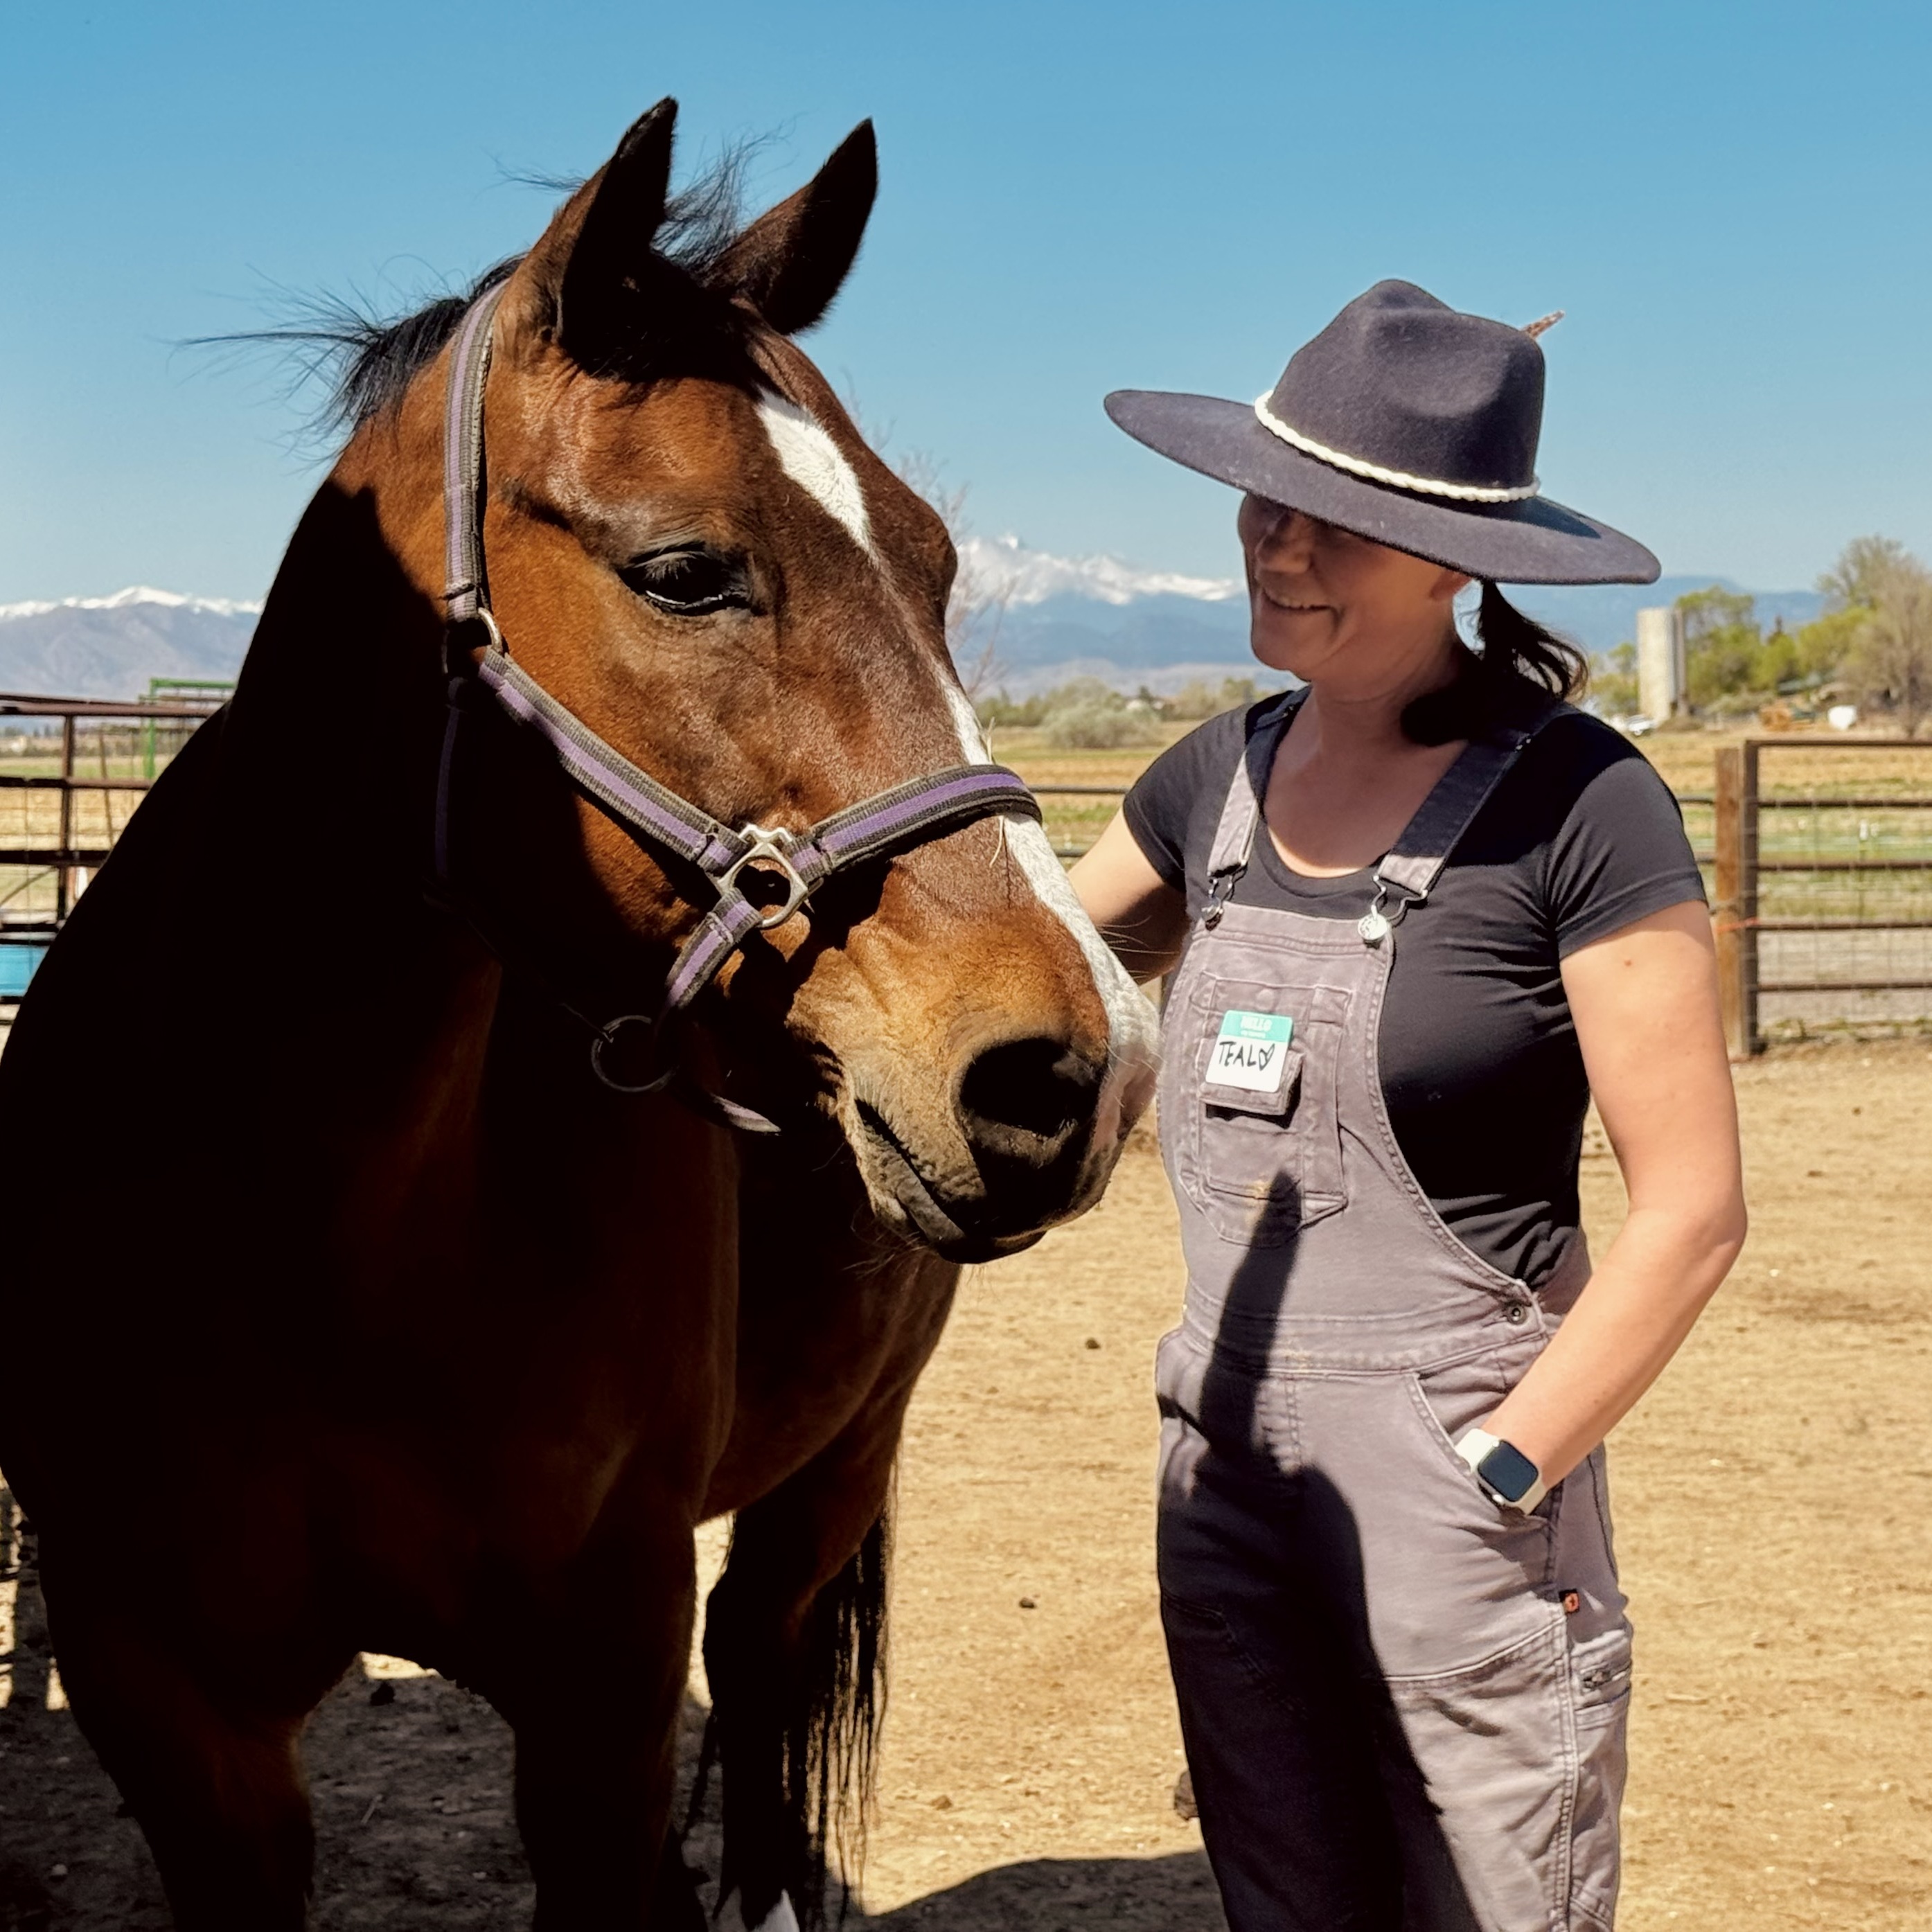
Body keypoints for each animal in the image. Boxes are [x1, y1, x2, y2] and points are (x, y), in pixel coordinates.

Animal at [0, 99, 1158, 1930]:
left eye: (935, 562)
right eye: (684, 571)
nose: (1081, 1062)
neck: (315, 1216)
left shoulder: (601, 1696)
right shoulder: (171, 1710)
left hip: (836, 1459)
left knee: (762, 1660)